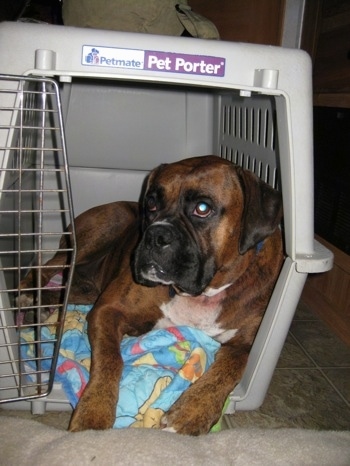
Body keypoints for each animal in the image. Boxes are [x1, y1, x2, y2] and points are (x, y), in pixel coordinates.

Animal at [19, 155, 284, 436]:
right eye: (152, 203)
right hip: (101, 229)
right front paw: (93, 414)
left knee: (64, 290)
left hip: (89, 289)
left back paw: (41, 308)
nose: (155, 234)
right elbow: (110, 360)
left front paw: (192, 411)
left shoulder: (246, 344)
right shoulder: (107, 310)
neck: (202, 293)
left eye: (202, 208)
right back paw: (27, 295)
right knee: (46, 265)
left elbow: (232, 367)